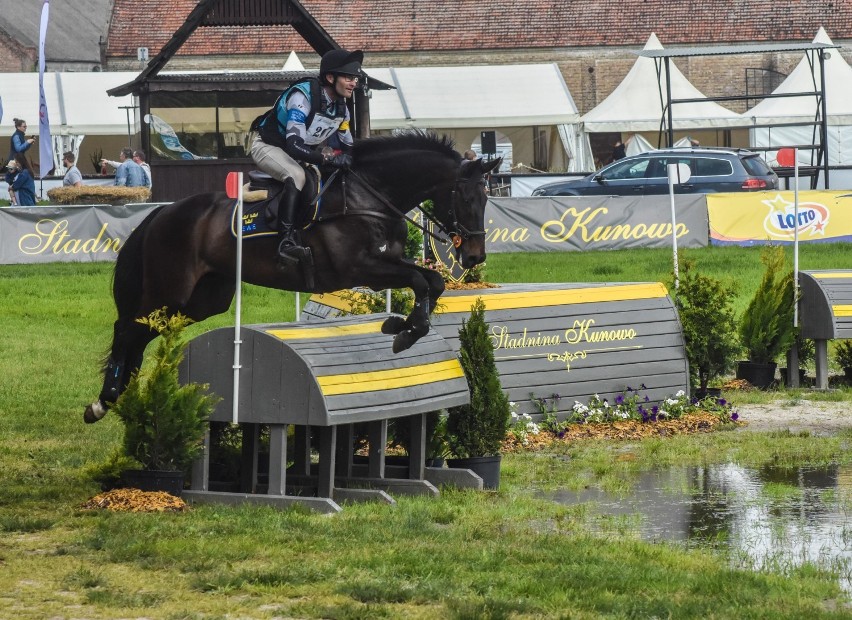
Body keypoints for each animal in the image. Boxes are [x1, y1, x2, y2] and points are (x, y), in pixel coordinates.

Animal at [82, 130, 500, 422]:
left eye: (487, 198)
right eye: (466, 197)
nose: (475, 256)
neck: (369, 196)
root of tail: (161, 212)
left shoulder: (385, 268)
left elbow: (432, 282)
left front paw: (401, 326)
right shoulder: (361, 269)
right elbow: (421, 282)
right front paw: (404, 332)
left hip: (202, 301)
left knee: (142, 332)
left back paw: (121, 395)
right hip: (171, 290)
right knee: (127, 328)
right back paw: (104, 401)